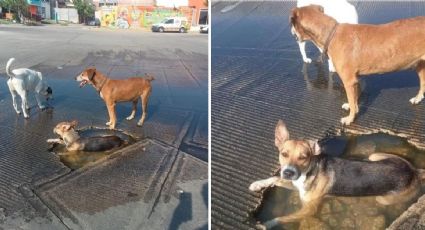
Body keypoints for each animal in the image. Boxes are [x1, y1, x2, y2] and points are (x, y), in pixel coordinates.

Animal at [248, 119, 424, 229]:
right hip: (375, 156)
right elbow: (275, 178)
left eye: (303, 157)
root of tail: (414, 171)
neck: (309, 171)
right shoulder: (296, 185)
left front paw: (266, 224)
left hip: (385, 198)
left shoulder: (309, 210)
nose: (289, 172)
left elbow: (282, 217)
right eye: (283, 154)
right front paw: (257, 184)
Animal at [290, 4, 424, 125]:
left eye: (292, 24)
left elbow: (351, 98)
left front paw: (350, 118)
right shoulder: (355, 78)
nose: (292, 33)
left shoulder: (348, 81)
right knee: (423, 84)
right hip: (420, 66)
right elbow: (354, 99)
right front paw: (352, 107)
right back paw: (417, 98)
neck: (331, 34)